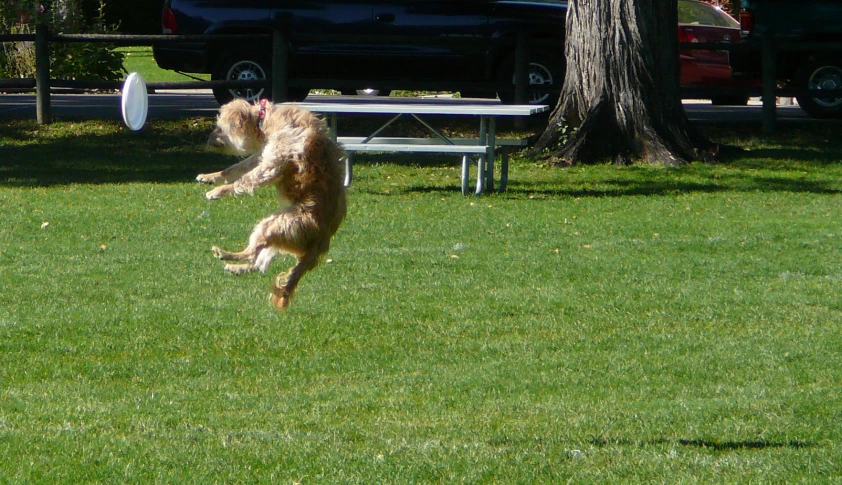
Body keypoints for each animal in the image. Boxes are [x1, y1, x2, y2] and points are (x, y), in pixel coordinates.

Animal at [199, 99, 346, 308]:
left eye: (220, 128)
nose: (208, 141)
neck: (264, 119)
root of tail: (320, 244)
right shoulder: (262, 155)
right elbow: (235, 168)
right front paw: (211, 176)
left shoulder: (272, 164)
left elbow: (244, 179)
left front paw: (218, 191)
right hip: (277, 232)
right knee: (258, 263)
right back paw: (236, 267)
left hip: (275, 225)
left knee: (252, 253)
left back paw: (225, 254)